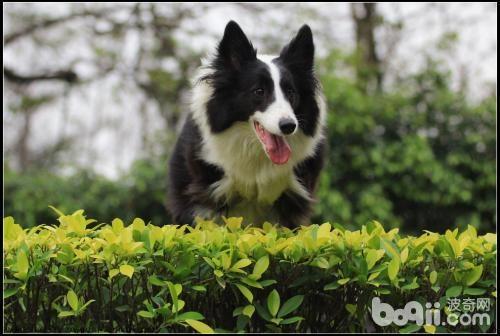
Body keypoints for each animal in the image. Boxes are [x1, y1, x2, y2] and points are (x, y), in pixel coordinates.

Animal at [166, 21, 326, 228]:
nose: (288, 126)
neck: (256, 152)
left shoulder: (294, 198)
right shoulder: (207, 197)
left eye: (291, 92)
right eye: (259, 91)